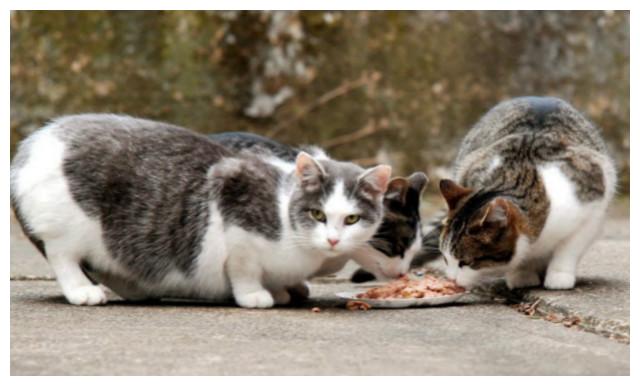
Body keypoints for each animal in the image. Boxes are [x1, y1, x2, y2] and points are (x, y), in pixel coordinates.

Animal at [8, 114, 390, 308]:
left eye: (352, 218)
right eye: (317, 215)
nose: (333, 240)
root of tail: (32, 144)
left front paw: (282, 290)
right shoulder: (234, 203)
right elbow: (243, 268)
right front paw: (254, 295)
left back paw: (136, 287)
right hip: (67, 225)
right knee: (63, 257)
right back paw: (82, 291)